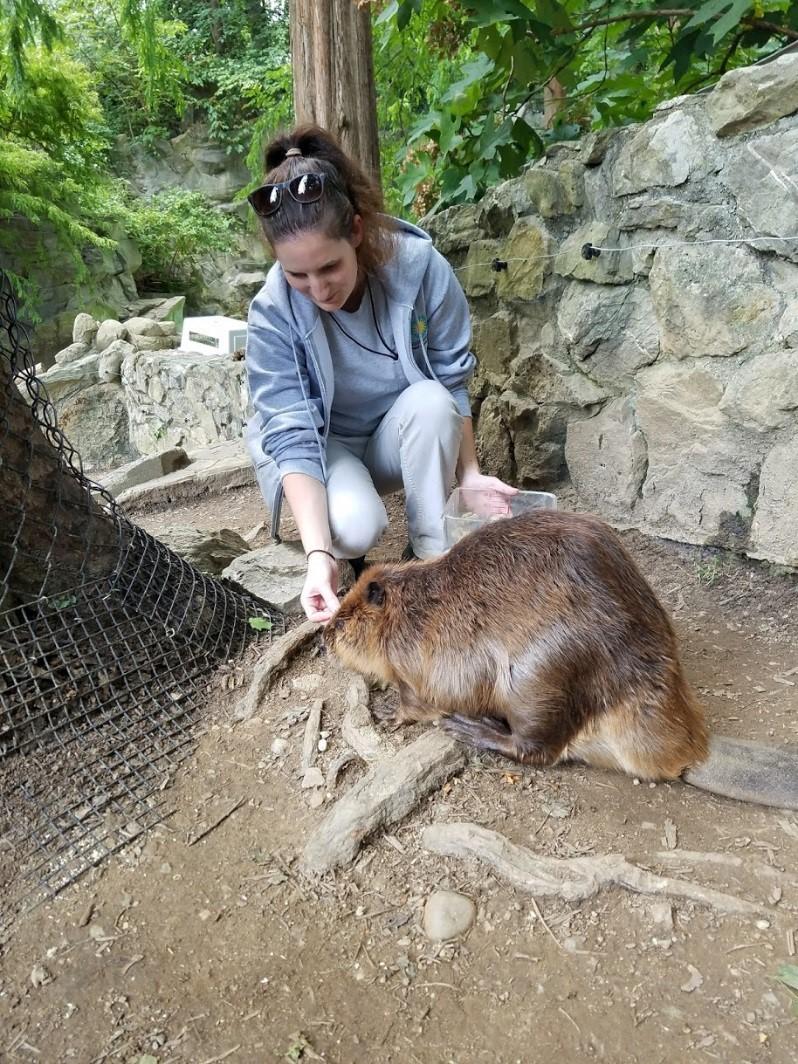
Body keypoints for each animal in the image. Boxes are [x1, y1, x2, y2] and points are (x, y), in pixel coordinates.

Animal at [327, 508, 798, 804]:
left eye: (345, 619)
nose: (326, 635)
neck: (412, 608)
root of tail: (696, 753)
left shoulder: (416, 663)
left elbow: (416, 701)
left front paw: (388, 712)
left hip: (536, 680)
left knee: (539, 749)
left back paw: (473, 728)